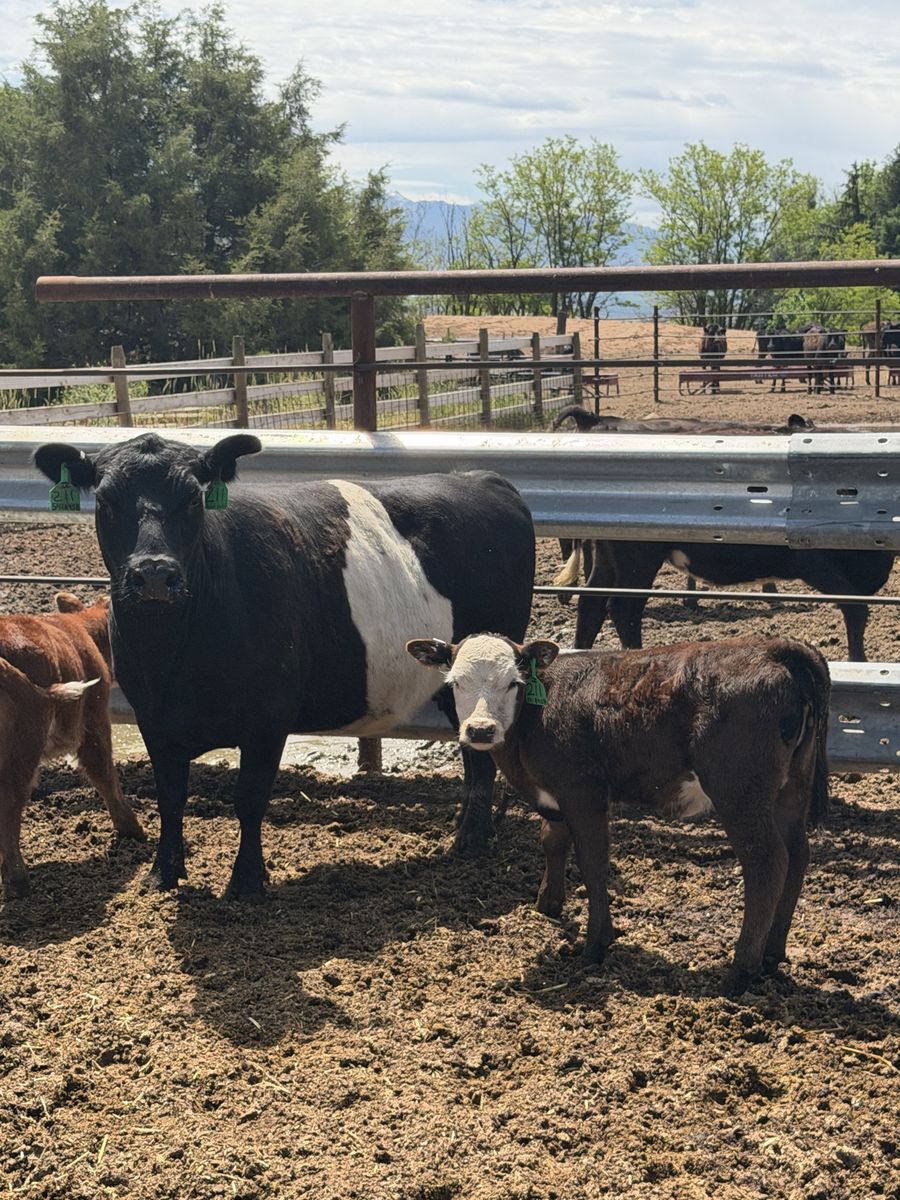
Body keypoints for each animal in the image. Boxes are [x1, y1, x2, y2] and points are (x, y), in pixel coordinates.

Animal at [0, 592, 144, 899]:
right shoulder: (95, 719)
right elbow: (104, 774)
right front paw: (133, 830)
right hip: (24, 744)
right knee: (9, 803)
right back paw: (18, 880)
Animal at [35, 434, 535, 896]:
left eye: (194, 497)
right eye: (104, 499)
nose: (155, 573)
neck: (174, 657)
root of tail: (481, 477)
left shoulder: (268, 718)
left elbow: (250, 798)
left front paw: (246, 881)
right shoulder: (153, 719)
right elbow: (170, 797)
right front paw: (164, 872)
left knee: (481, 759)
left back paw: (470, 839)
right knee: (475, 755)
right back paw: (469, 831)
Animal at [407, 632, 830, 996]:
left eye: (513, 682)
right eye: (454, 682)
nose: (480, 730)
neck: (534, 715)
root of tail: (771, 647)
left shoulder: (584, 793)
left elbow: (593, 864)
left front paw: (595, 944)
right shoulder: (556, 795)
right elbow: (552, 842)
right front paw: (548, 904)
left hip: (739, 791)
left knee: (767, 862)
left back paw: (741, 970)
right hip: (791, 789)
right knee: (797, 855)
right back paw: (772, 954)